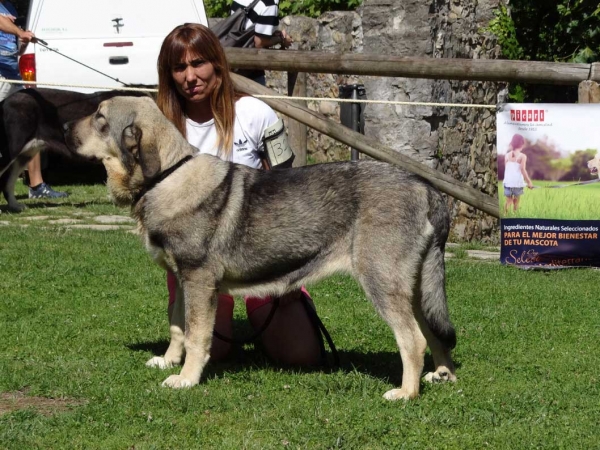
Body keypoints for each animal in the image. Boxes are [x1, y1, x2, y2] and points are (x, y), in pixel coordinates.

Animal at [64, 96, 454, 400]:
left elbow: (196, 335)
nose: (64, 125)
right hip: (414, 287)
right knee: (434, 332)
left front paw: (186, 378)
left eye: (100, 117)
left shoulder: (198, 280)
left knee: (412, 339)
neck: (166, 176)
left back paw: (406, 392)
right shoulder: (182, 279)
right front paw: (168, 360)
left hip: (381, 282)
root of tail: (425, 188)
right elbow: (177, 327)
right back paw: (442, 375)